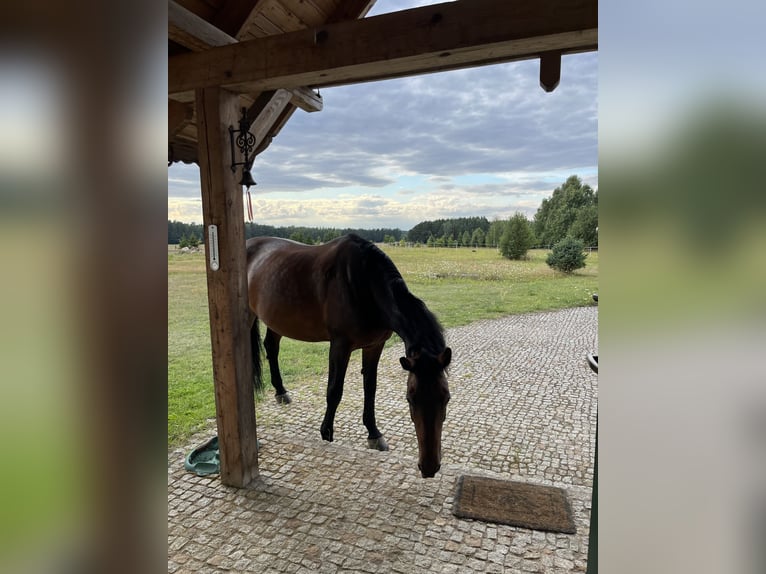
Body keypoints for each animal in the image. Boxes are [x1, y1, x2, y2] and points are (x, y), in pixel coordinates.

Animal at [246, 234, 452, 482]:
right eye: (410, 399)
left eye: (446, 398)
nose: (429, 467)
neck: (364, 283)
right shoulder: (340, 345)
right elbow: (334, 390)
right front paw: (326, 433)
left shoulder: (374, 346)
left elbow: (370, 387)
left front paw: (374, 433)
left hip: (277, 318)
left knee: (271, 347)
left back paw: (280, 391)